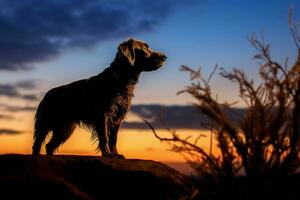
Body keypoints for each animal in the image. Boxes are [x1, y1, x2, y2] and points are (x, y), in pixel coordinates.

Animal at [32, 38, 166, 158]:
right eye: (145, 48)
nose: (164, 56)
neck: (120, 80)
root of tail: (47, 94)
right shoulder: (102, 115)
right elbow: (104, 137)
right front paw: (107, 154)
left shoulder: (117, 118)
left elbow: (113, 139)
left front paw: (116, 154)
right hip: (45, 123)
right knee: (38, 143)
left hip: (65, 128)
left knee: (49, 145)